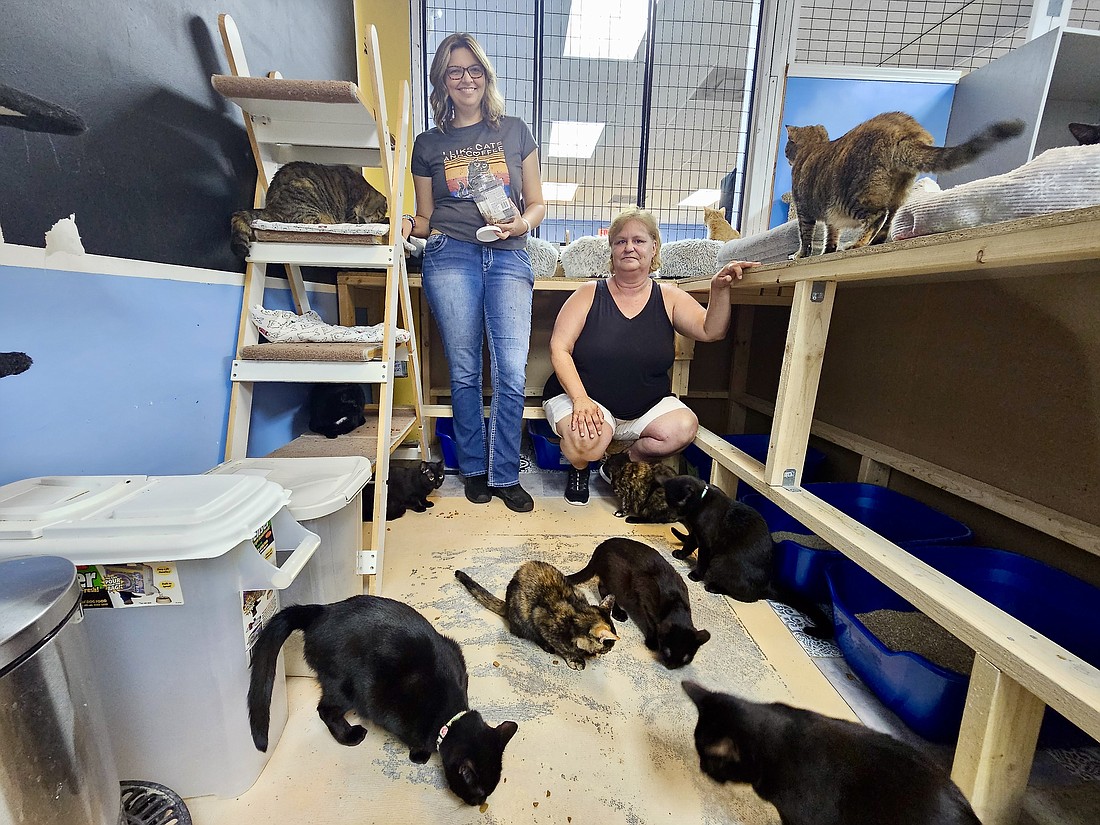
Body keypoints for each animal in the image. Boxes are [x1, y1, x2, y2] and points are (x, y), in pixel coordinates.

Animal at [229, 159, 389, 255]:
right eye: (379, 215)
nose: (380, 219)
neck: (365, 193)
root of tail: (270, 208)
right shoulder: (351, 209)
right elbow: (353, 220)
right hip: (306, 188)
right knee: (312, 222)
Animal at [247, 598, 517, 805]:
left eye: (490, 790)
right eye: (477, 791)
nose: (479, 803)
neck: (448, 716)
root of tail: (323, 610)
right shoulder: (388, 708)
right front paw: (419, 754)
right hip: (346, 686)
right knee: (325, 710)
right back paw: (349, 736)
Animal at [448, 563, 620, 673]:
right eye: (608, 646)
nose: (609, 651)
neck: (579, 613)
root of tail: (507, 605)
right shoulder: (541, 619)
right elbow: (563, 647)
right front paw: (576, 658)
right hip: (523, 615)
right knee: (526, 633)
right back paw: (546, 646)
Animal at [563, 539, 708, 668]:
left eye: (686, 659)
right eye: (667, 651)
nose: (671, 666)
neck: (676, 604)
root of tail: (599, 548)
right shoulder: (645, 602)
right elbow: (651, 624)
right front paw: (652, 642)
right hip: (617, 580)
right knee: (603, 588)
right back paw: (618, 613)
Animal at [783, 111, 1020, 257]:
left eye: (786, 147)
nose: (785, 155)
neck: (812, 147)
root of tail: (906, 133)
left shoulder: (804, 209)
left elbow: (806, 236)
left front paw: (800, 255)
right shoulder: (830, 216)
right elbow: (831, 234)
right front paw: (827, 251)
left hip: (855, 193)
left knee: (877, 216)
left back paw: (856, 244)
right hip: (900, 190)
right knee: (890, 216)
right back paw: (876, 241)